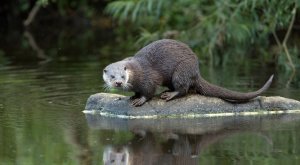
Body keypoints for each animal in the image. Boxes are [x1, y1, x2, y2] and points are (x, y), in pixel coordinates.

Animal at [102, 39, 274, 107]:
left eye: (122, 75)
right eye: (112, 76)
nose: (118, 82)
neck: (137, 71)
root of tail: (196, 71)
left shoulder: (148, 77)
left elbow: (149, 91)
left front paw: (140, 100)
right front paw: (133, 96)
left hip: (181, 71)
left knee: (183, 89)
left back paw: (169, 94)